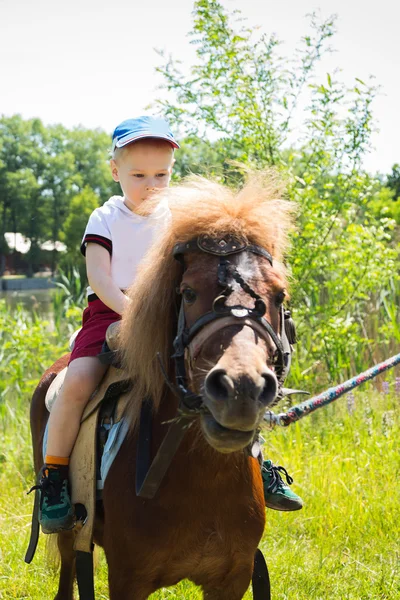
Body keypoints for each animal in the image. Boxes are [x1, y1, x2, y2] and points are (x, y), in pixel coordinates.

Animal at [28, 171, 294, 596]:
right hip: (70, 537)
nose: (241, 390)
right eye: (188, 293)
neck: (203, 478)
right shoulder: (127, 578)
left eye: (279, 295)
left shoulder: (233, 578)